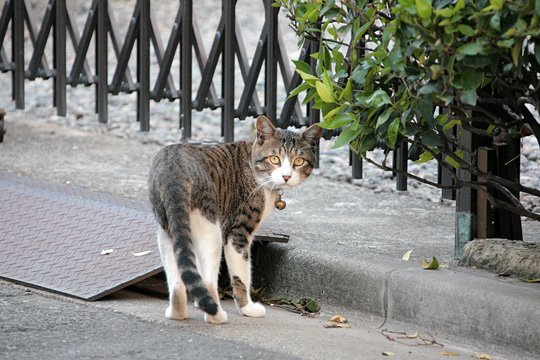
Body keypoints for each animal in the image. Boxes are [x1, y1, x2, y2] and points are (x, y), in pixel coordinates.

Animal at [148, 116, 320, 324]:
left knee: (177, 279)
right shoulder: (238, 232)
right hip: (211, 230)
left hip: (167, 228)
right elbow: (242, 275)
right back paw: (216, 315)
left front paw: (198, 301)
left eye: (299, 161)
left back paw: (178, 312)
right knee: (209, 279)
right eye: (274, 159)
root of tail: (174, 170)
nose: (286, 176)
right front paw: (247, 308)